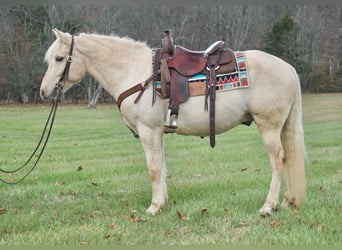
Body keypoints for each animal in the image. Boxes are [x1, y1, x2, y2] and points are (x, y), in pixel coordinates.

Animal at [40, 29, 308, 216]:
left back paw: (268, 206)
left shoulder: (148, 131)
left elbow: (153, 168)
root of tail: (288, 68)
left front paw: (153, 207)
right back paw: (287, 201)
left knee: (278, 161)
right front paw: (163, 203)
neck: (134, 71)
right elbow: (162, 167)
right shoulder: (158, 133)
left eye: (60, 58)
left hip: (269, 127)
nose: (44, 91)